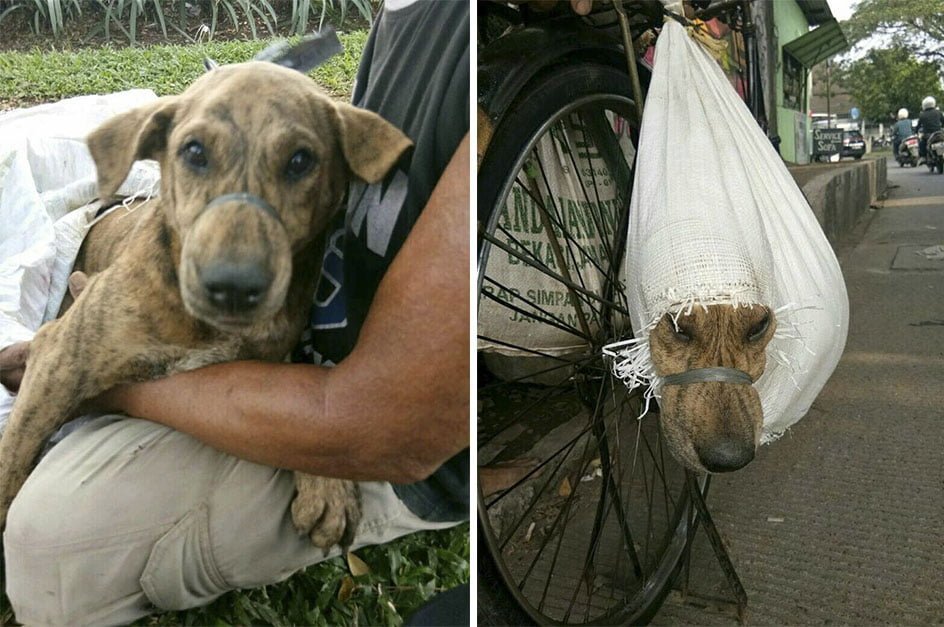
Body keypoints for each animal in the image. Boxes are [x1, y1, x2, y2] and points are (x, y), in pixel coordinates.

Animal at [0, 60, 412, 548]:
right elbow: (11, 459)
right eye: (194, 152)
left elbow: (308, 401)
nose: (232, 287)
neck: (210, 328)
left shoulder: (272, 359)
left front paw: (327, 484)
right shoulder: (59, 355)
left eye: (300, 160)